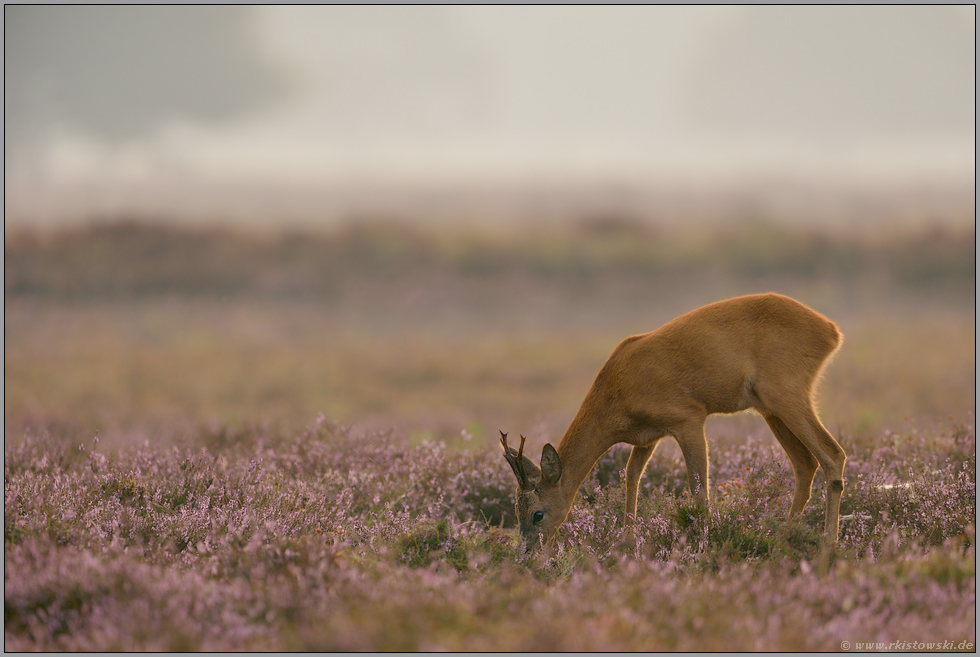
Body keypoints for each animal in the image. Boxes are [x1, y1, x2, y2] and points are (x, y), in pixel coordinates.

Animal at [502, 292, 848, 548]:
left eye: (537, 514)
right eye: (515, 509)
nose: (527, 552)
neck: (618, 383)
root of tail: (832, 331)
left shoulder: (689, 420)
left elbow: (698, 487)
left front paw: (705, 540)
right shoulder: (648, 438)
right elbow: (631, 476)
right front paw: (626, 540)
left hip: (787, 398)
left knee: (833, 454)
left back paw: (829, 542)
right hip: (770, 410)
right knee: (805, 464)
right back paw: (784, 536)